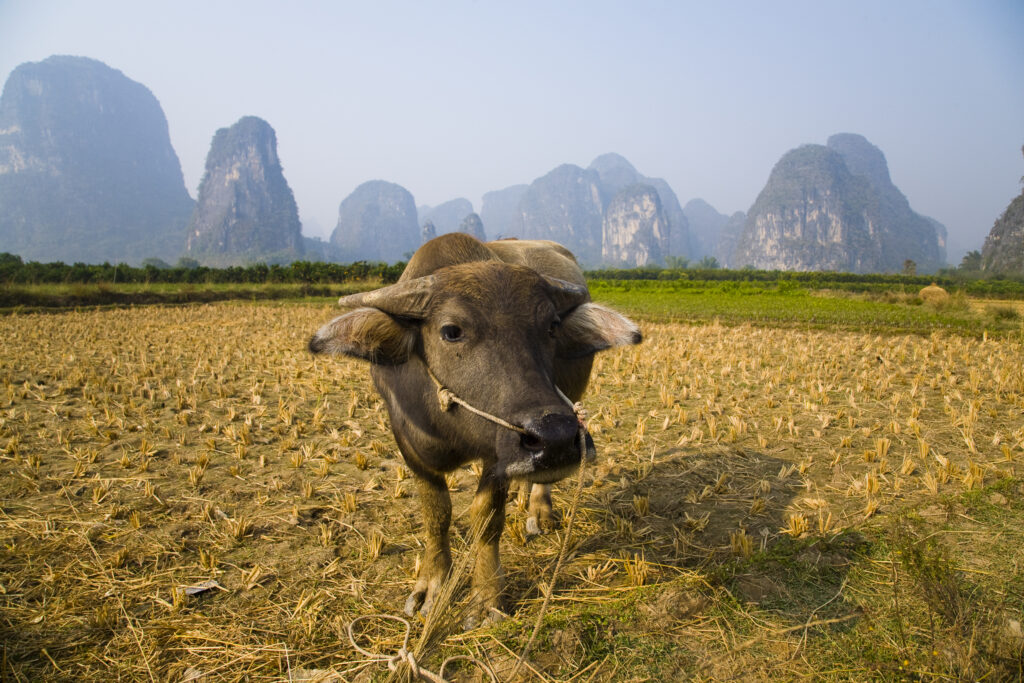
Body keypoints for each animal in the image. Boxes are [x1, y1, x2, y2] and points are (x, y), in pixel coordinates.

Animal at [309, 233, 640, 626]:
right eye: (451, 331)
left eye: (551, 327)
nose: (556, 437)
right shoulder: (408, 445)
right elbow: (436, 514)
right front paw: (432, 585)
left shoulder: (497, 457)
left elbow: (486, 519)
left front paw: (486, 598)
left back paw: (539, 510)